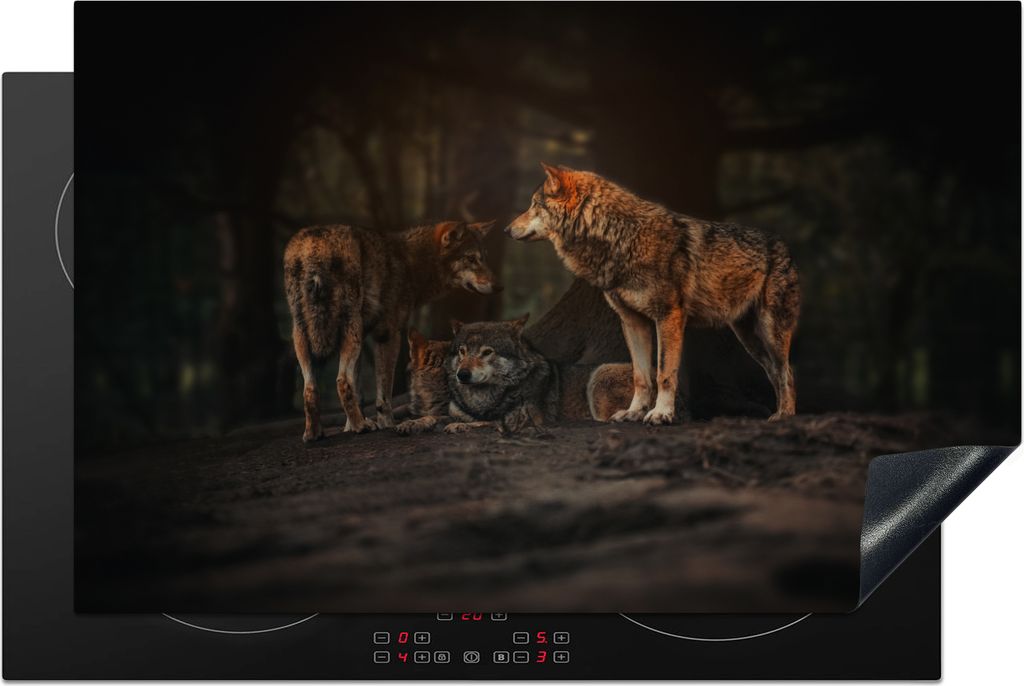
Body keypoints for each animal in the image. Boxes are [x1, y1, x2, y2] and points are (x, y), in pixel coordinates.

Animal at [284, 220, 497, 442]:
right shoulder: (388, 334)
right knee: (341, 381)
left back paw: (313, 433)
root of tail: (314, 245)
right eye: (471, 259)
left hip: (304, 335)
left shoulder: (365, 339)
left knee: (310, 389)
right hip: (348, 332)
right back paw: (360, 426)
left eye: (483, 258)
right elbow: (383, 394)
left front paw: (349, 427)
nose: (498, 286)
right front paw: (385, 424)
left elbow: (359, 391)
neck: (409, 263)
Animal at [507, 164, 800, 424]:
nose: (506, 230)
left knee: (786, 371)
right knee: (777, 372)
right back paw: (780, 412)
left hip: (770, 332)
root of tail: (783, 245)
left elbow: (664, 373)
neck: (620, 237)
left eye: (534, 205)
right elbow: (641, 376)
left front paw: (661, 415)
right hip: (749, 338)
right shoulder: (632, 322)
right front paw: (633, 413)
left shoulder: (668, 317)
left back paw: (785, 415)